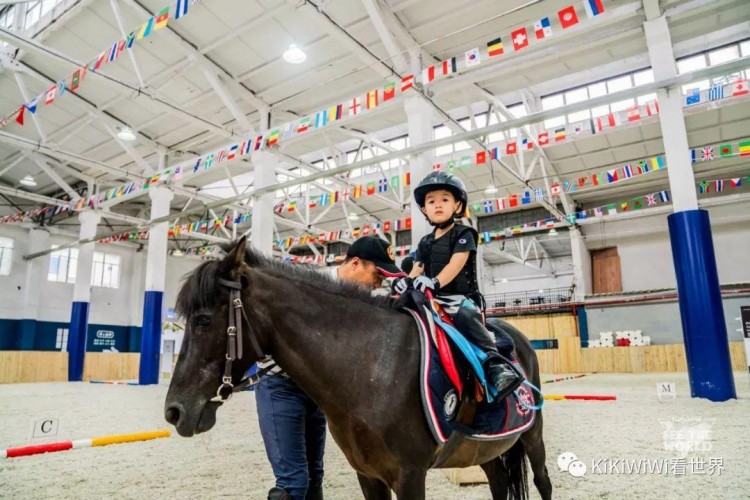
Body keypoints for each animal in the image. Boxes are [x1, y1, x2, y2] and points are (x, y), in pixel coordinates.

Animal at [164, 239, 552, 500]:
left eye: (202, 320)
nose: (174, 412)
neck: (372, 370)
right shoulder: (369, 475)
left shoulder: (410, 475)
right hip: (485, 447)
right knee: (499, 482)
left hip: (532, 435)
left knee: (542, 481)